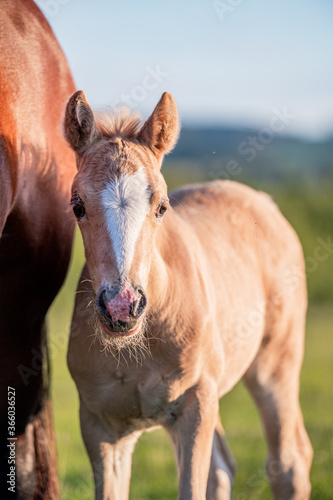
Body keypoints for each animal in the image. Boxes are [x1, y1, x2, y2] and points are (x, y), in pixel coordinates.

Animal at [64, 91, 312, 500]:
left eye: (162, 207)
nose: (122, 307)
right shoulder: (101, 427)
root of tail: (262, 201)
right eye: (77, 206)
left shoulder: (195, 405)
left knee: (289, 462)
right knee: (222, 468)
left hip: (275, 364)